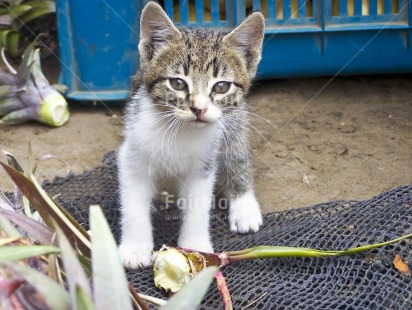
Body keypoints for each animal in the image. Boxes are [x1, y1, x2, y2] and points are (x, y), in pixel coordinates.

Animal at [117, 1, 266, 268]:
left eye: (221, 86)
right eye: (177, 83)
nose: (199, 109)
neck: (180, 129)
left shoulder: (203, 164)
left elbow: (198, 204)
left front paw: (196, 247)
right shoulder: (132, 153)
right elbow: (133, 204)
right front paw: (135, 248)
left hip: (232, 119)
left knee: (236, 148)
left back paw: (244, 204)